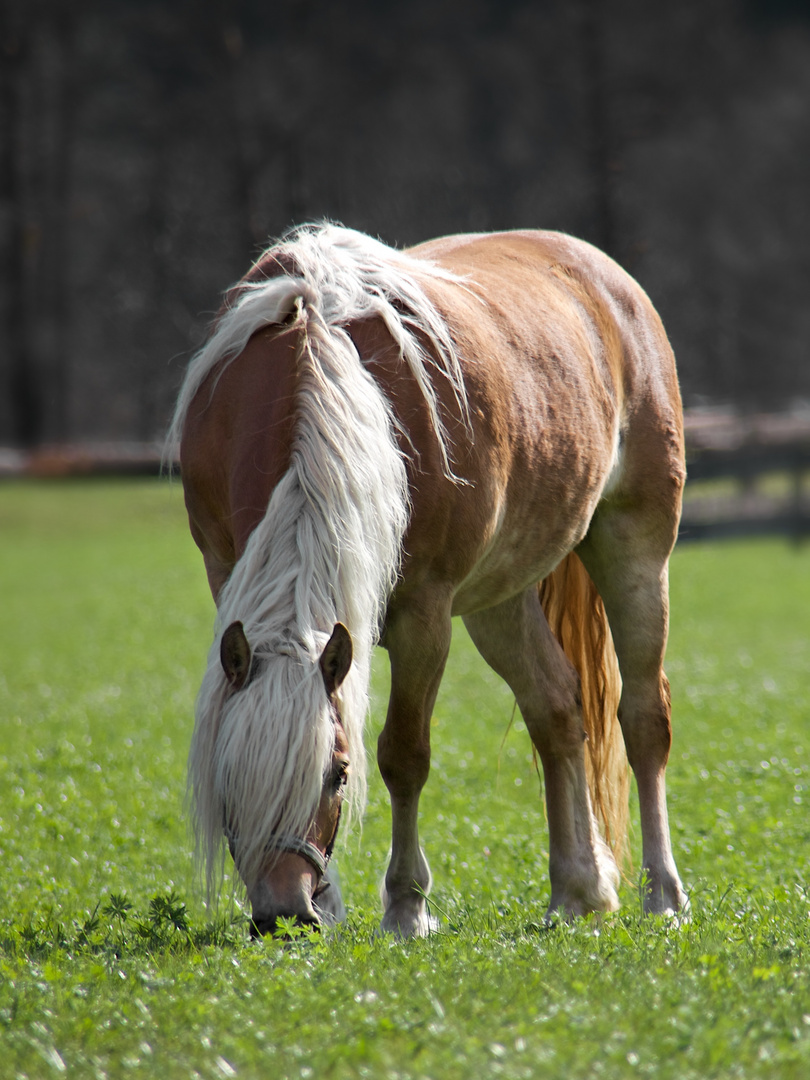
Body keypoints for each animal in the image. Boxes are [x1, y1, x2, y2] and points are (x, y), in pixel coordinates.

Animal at [169, 225, 686, 937]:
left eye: (337, 775)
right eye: (227, 778)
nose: (284, 913)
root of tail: (603, 276)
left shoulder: (422, 618)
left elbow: (403, 755)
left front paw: (407, 906)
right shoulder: (228, 576)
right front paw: (337, 904)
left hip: (636, 547)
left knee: (643, 718)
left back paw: (663, 893)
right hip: (502, 599)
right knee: (556, 708)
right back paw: (577, 890)